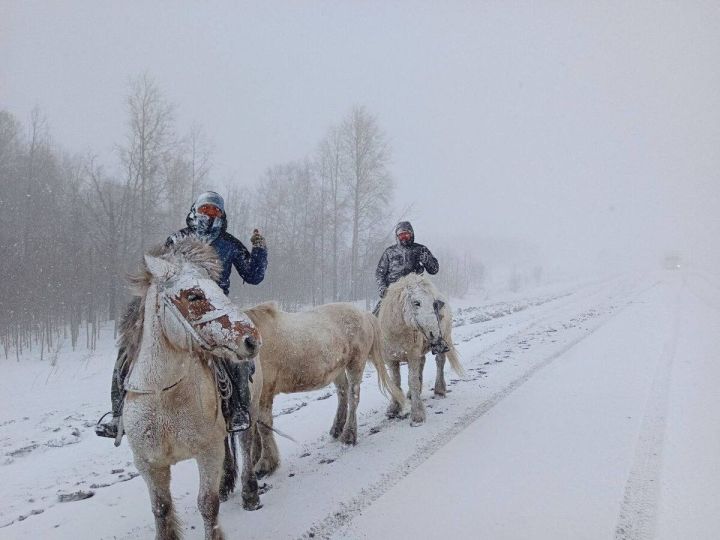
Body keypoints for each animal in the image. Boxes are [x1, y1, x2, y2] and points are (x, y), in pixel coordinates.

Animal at [121, 240, 264, 540]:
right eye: (194, 295)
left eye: (219, 288)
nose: (251, 339)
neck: (164, 396)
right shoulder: (149, 465)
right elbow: (162, 510)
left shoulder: (207, 453)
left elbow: (207, 505)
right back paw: (226, 484)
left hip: (250, 411)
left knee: (245, 445)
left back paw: (250, 494)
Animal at [243, 304, 404, 476]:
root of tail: (363, 314)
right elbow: (255, 429)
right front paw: (255, 458)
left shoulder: (265, 391)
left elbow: (263, 427)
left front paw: (265, 463)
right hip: (338, 368)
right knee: (343, 393)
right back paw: (337, 428)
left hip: (356, 363)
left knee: (353, 396)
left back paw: (349, 435)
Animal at [380, 274, 464, 426]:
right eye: (416, 303)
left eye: (434, 304)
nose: (434, 334)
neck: (398, 332)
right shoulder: (391, 359)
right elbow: (395, 382)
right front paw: (394, 408)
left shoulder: (412, 356)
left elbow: (412, 381)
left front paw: (417, 415)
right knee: (422, 363)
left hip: (444, 339)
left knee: (440, 362)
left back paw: (439, 390)